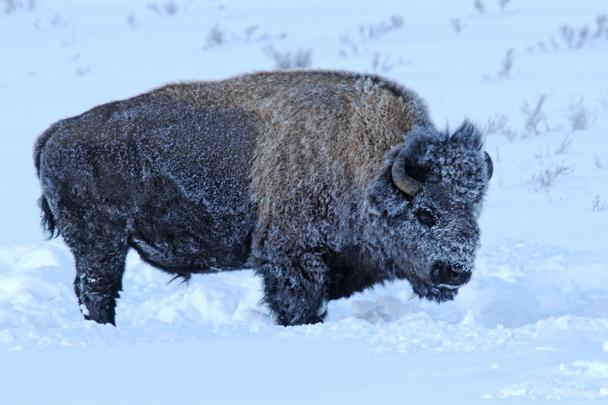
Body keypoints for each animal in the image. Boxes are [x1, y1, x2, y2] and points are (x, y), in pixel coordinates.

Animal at [33, 70, 492, 326]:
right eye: (426, 213)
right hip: (101, 243)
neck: (366, 163)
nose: (455, 271)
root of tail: (56, 133)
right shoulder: (292, 259)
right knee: (98, 290)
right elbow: (299, 306)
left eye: (474, 210)